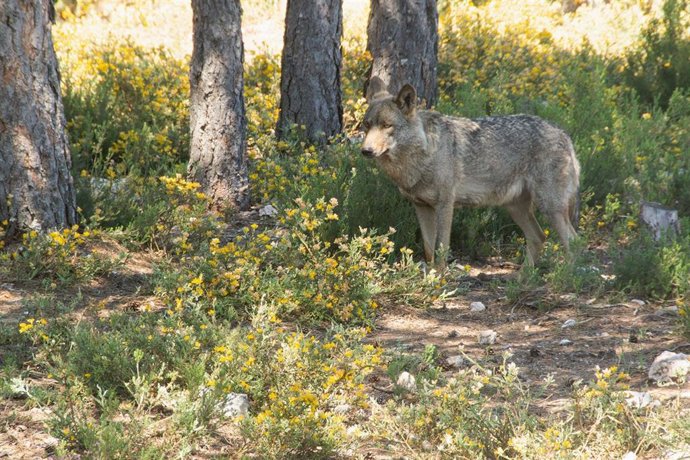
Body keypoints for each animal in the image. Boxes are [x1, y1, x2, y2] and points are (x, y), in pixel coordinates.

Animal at [360, 83, 581, 267]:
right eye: (367, 125)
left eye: (387, 125)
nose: (366, 151)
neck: (422, 155)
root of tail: (564, 134)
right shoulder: (421, 207)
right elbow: (429, 250)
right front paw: (429, 280)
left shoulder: (445, 205)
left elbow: (441, 250)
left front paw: (438, 282)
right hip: (516, 208)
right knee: (539, 237)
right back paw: (522, 278)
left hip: (550, 207)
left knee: (573, 242)